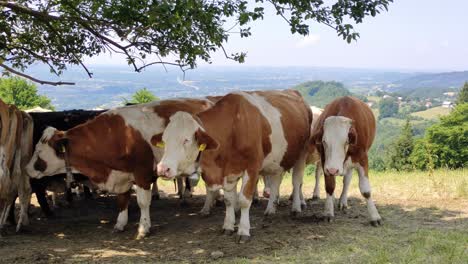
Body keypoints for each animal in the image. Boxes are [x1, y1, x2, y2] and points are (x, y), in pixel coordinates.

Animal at [26, 98, 213, 238]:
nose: (26, 168)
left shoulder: (142, 174)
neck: (117, 135)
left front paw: (143, 228)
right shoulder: (121, 176)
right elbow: (122, 201)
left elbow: (143, 202)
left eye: (39, 151)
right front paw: (120, 224)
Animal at [155, 89, 312, 242]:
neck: (234, 127)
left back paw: (296, 208)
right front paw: (228, 227)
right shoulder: (228, 172)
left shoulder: (252, 168)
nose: (162, 168)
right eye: (164, 140)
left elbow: (244, 200)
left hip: (302, 153)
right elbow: (229, 200)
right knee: (275, 181)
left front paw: (243, 231)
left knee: (296, 182)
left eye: (186, 140)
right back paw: (270, 209)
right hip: (278, 159)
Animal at [308, 96, 382, 226]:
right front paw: (328, 212)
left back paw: (343, 201)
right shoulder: (325, 161)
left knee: (347, 180)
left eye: (346, 141)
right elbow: (330, 187)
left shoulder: (362, 159)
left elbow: (366, 190)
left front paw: (374, 216)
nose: (333, 170)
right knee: (319, 174)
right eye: (324, 142)